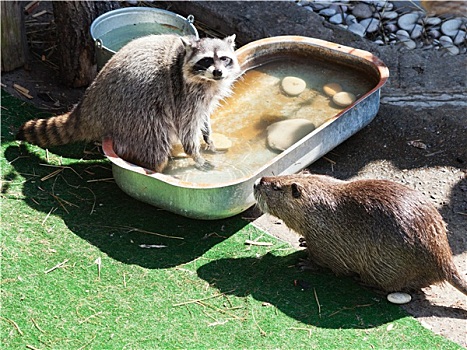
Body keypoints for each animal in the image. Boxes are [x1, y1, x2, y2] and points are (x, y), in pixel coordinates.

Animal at [15, 34, 241, 171]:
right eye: (206, 60)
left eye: (224, 58)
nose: (218, 72)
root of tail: (87, 104)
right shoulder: (183, 96)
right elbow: (186, 127)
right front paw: (195, 155)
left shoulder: (205, 96)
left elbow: (203, 117)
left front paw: (208, 138)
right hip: (133, 113)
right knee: (155, 140)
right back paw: (155, 167)